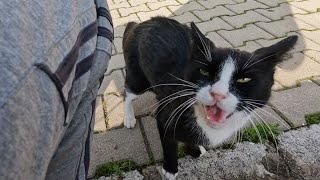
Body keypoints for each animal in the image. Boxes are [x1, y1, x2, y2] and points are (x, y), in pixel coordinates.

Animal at [122, 16, 298, 179]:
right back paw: (129, 117)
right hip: (138, 77)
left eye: (244, 79)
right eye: (204, 71)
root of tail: (144, 22)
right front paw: (170, 170)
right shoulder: (168, 113)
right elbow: (169, 143)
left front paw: (194, 149)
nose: (218, 93)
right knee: (128, 93)